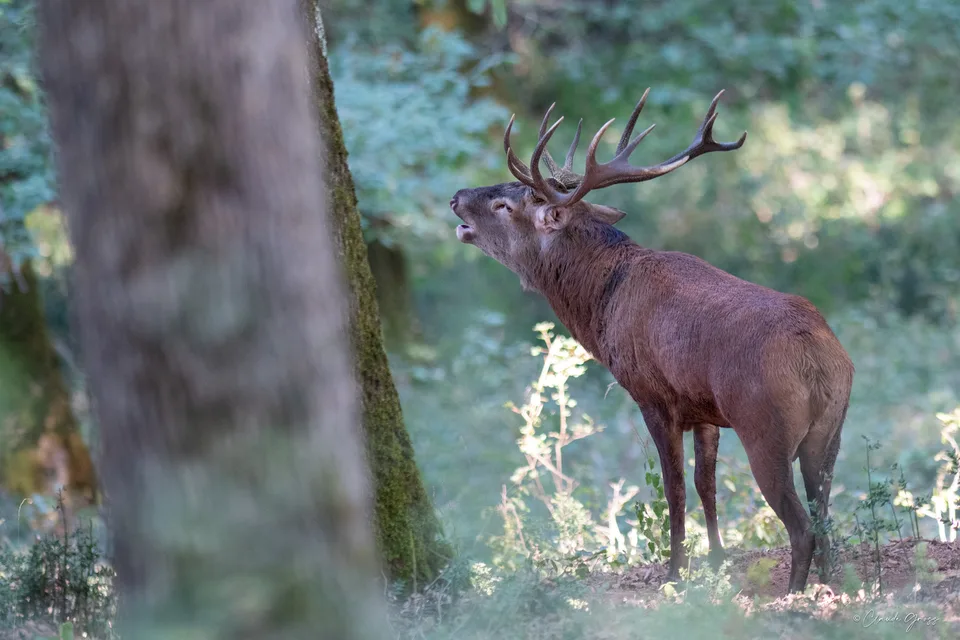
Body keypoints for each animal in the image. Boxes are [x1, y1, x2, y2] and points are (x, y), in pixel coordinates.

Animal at [450, 88, 854, 594]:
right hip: (831, 428)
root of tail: (818, 359)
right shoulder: (702, 407)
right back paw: (832, 584)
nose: (455, 197)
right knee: (825, 512)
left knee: (801, 524)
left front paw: (675, 572)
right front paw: (716, 562)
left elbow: (673, 486)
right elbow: (705, 483)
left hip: (764, 424)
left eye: (506, 206)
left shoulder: (652, 394)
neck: (604, 303)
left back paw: (794, 595)